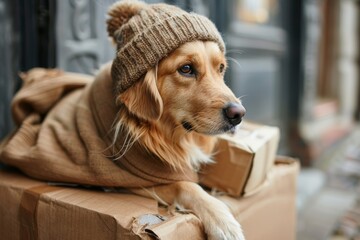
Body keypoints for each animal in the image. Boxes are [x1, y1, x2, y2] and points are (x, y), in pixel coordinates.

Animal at [107, 39, 248, 240]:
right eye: (186, 68)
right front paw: (223, 222)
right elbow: (185, 185)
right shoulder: (125, 183)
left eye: (221, 68)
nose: (238, 114)